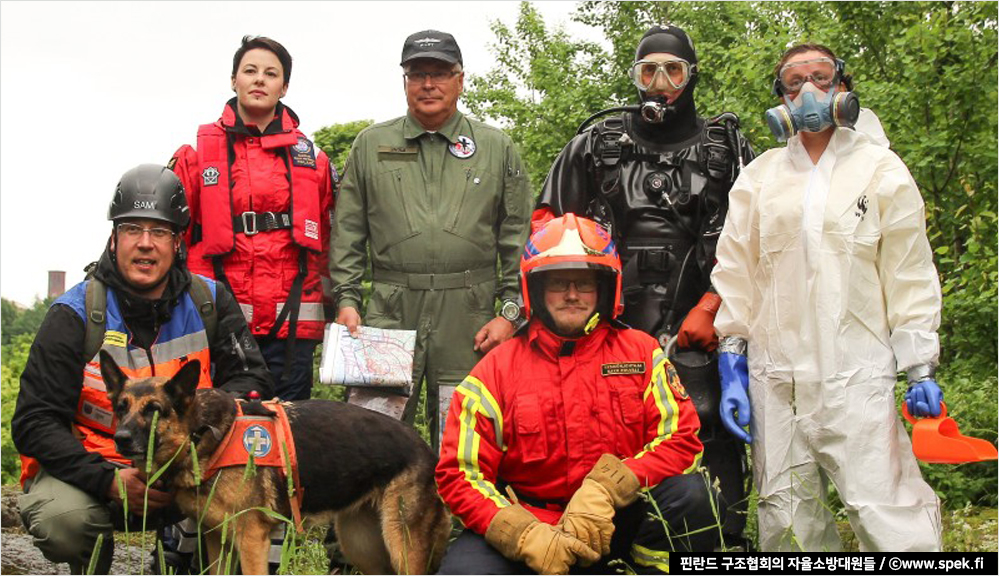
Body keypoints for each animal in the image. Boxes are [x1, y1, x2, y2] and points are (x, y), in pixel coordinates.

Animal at [99, 348, 452, 572]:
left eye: (154, 410)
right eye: (121, 407)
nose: (121, 439)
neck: (206, 436)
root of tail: (426, 448)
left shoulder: (252, 540)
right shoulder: (217, 540)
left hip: (402, 546)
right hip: (362, 544)